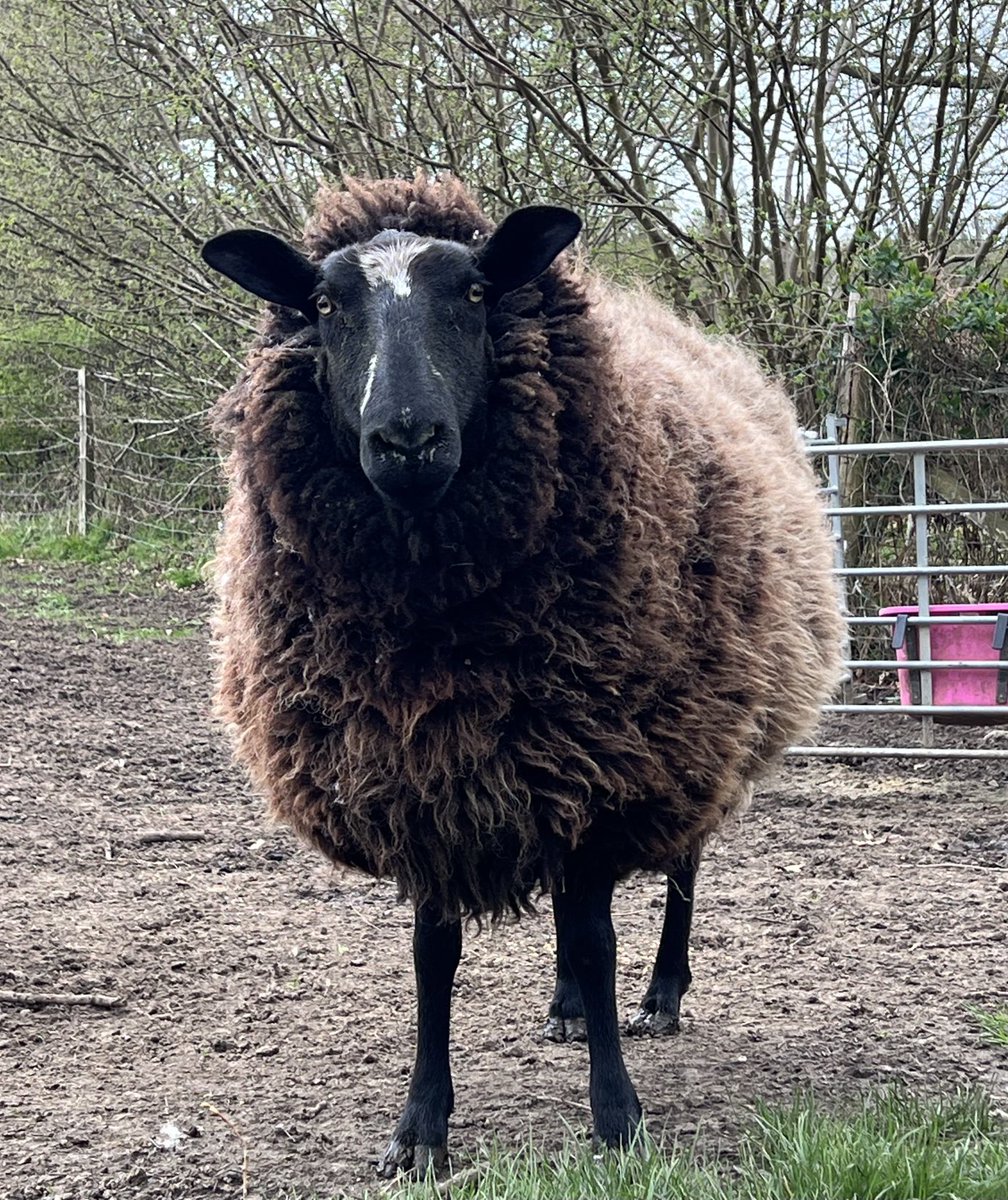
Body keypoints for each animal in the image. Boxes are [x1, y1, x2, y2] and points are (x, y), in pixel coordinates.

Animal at [199, 174, 844, 1176]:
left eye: (472, 293)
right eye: (325, 305)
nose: (408, 437)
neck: (437, 635)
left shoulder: (612, 766)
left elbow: (595, 936)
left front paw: (618, 1119)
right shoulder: (425, 780)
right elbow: (434, 954)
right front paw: (419, 1128)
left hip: (696, 721)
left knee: (680, 866)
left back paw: (660, 993)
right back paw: (566, 1006)